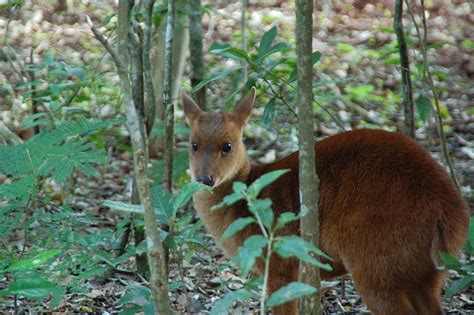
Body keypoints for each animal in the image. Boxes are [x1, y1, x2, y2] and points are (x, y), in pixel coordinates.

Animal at [181, 87, 470, 315]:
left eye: (227, 146)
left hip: (375, 261)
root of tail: (451, 211)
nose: (205, 179)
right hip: (425, 271)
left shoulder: (280, 264)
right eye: (193, 145)